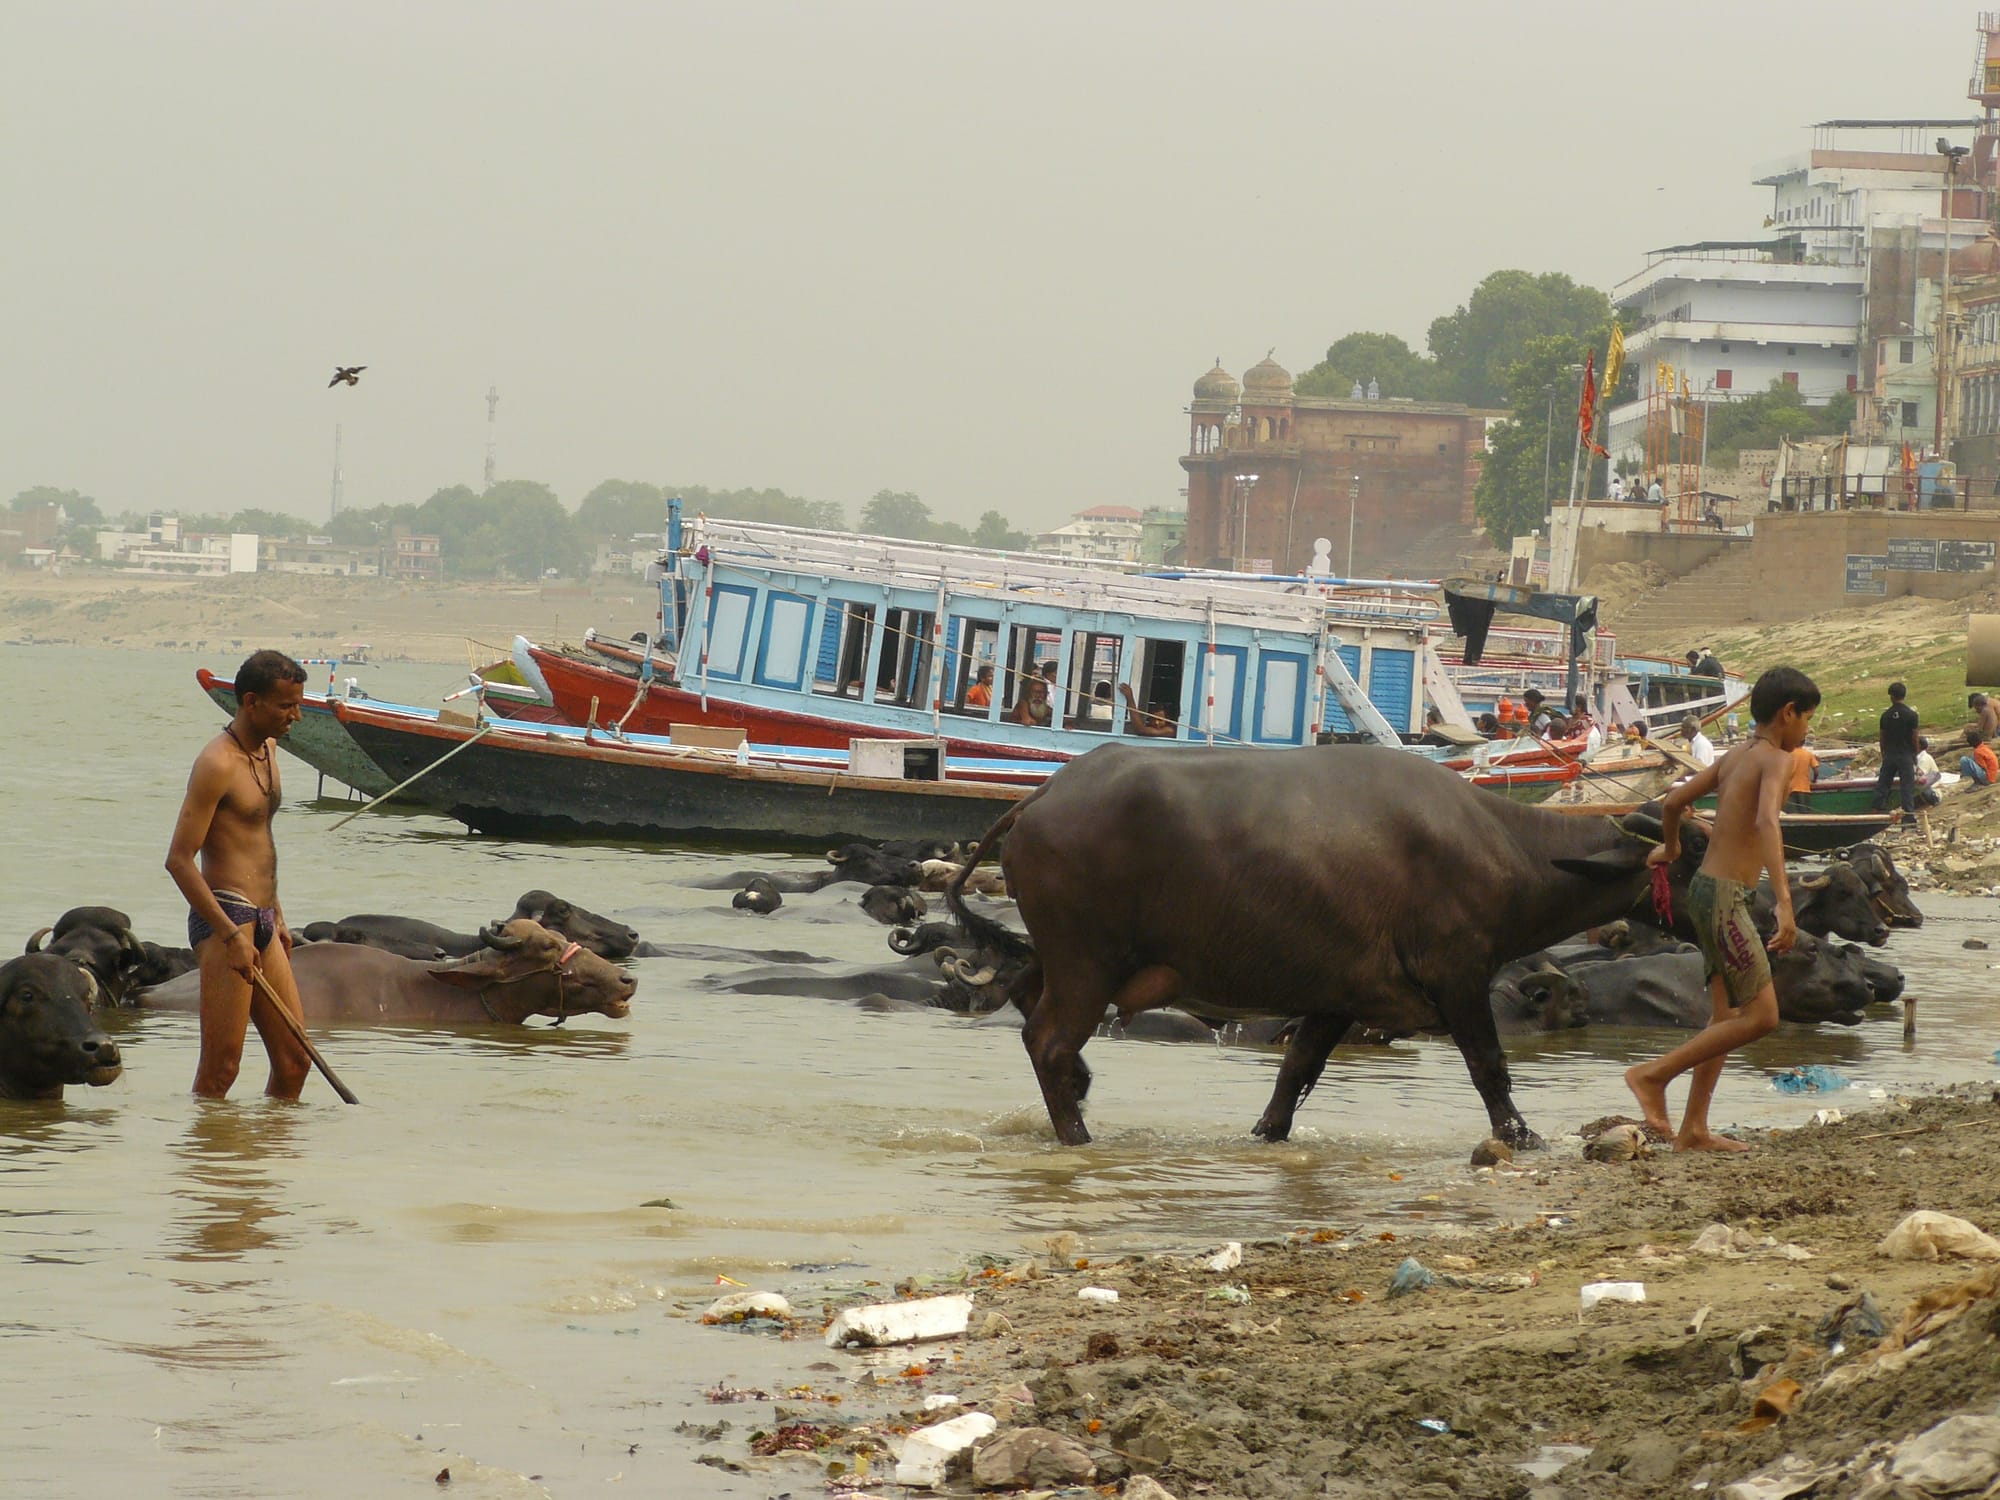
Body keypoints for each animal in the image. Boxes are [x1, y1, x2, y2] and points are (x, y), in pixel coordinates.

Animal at [944, 744, 1664, 1152]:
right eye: (1685, 853)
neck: (1499, 849)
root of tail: (1041, 797)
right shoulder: (1457, 973)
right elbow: (1489, 1065)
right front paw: (1521, 1135)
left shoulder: (1339, 994)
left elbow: (1294, 1073)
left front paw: (1267, 1135)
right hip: (1086, 960)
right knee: (1047, 1040)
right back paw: (1078, 1135)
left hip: (1064, 959)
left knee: (1026, 997)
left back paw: (1080, 1086)